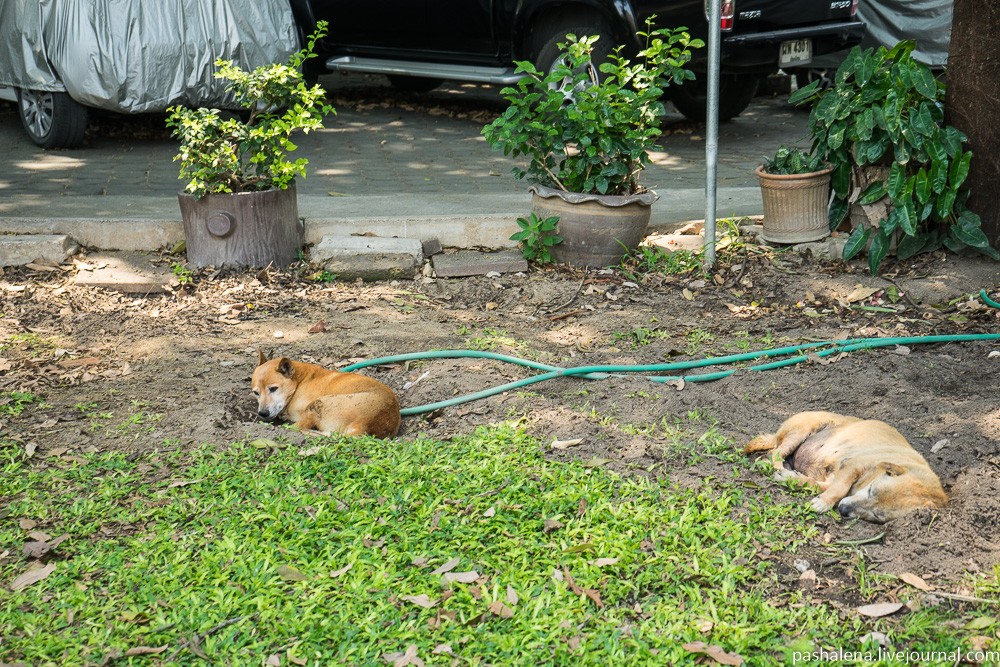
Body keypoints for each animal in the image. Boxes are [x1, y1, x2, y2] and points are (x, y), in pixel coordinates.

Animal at [252, 350, 400, 438]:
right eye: (255, 393)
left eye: (273, 389)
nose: (262, 413)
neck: (300, 381)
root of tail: (364, 424)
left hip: (318, 404)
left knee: (299, 427)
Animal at [748, 410, 948, 524]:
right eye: (871, 491)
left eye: (877, 516)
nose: (843, 510)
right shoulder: (853, 465)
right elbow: (839, 488)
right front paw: (822, 503)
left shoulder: (835, 477)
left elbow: (820, 485)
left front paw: (795, 480)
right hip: (801, 431)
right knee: (773, 453)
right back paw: (776, 466)